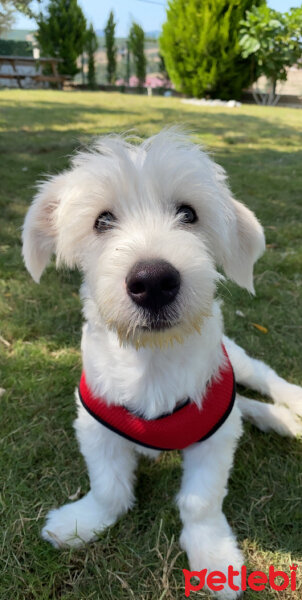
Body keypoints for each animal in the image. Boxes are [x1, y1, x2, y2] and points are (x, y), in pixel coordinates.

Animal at [22, 129, 300, 596]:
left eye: (188, 214)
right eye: (101, 221)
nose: (153, 281)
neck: (151, 362)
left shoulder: (215, 437)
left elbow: (200, 501)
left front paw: (213, 555)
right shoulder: (94, 425)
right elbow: (110, 489)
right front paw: (82, 522)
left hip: (236, 361)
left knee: (264, 378)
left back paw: (290, 408)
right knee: (246, 406)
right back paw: (276, 419)